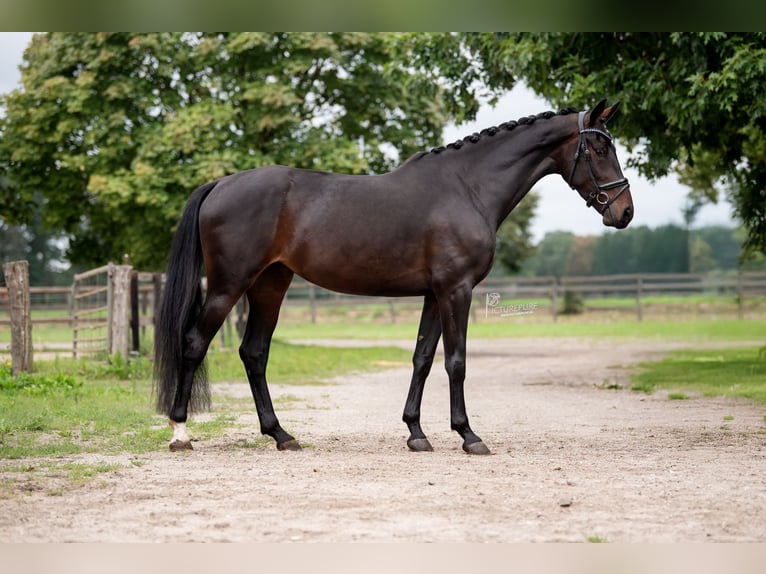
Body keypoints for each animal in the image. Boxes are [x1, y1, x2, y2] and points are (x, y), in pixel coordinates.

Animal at [153, 99, 633, 455]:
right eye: (599, 150)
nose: (624, 213)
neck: (468, 187)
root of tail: (220, 184)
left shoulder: (435, 294)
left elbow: (422, 358)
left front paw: (416, 433)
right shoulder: (456, 290)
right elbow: (456, 361)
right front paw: (468, 435)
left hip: (270, 285)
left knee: (254, 353)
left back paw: (281, 435)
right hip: (228, 286)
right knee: (194, 343)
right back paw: (181, 434)